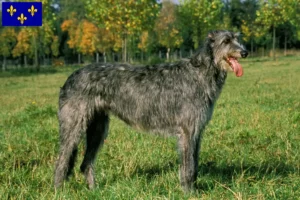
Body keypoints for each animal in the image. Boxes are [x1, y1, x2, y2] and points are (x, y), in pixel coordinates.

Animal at [54, 30, 248, 191]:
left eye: (237, 38)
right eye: (226, 41)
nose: (244, 52)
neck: (200, 73)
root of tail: (70, 78)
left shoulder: (197, 132)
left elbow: (195, 164)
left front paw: (194, 189)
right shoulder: (187, 131)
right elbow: (188, 166)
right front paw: (189, 192)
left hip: (98, 128)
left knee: (85, 163)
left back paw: (94, 190)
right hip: (74, 125)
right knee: (61, 161)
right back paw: (59, 191)